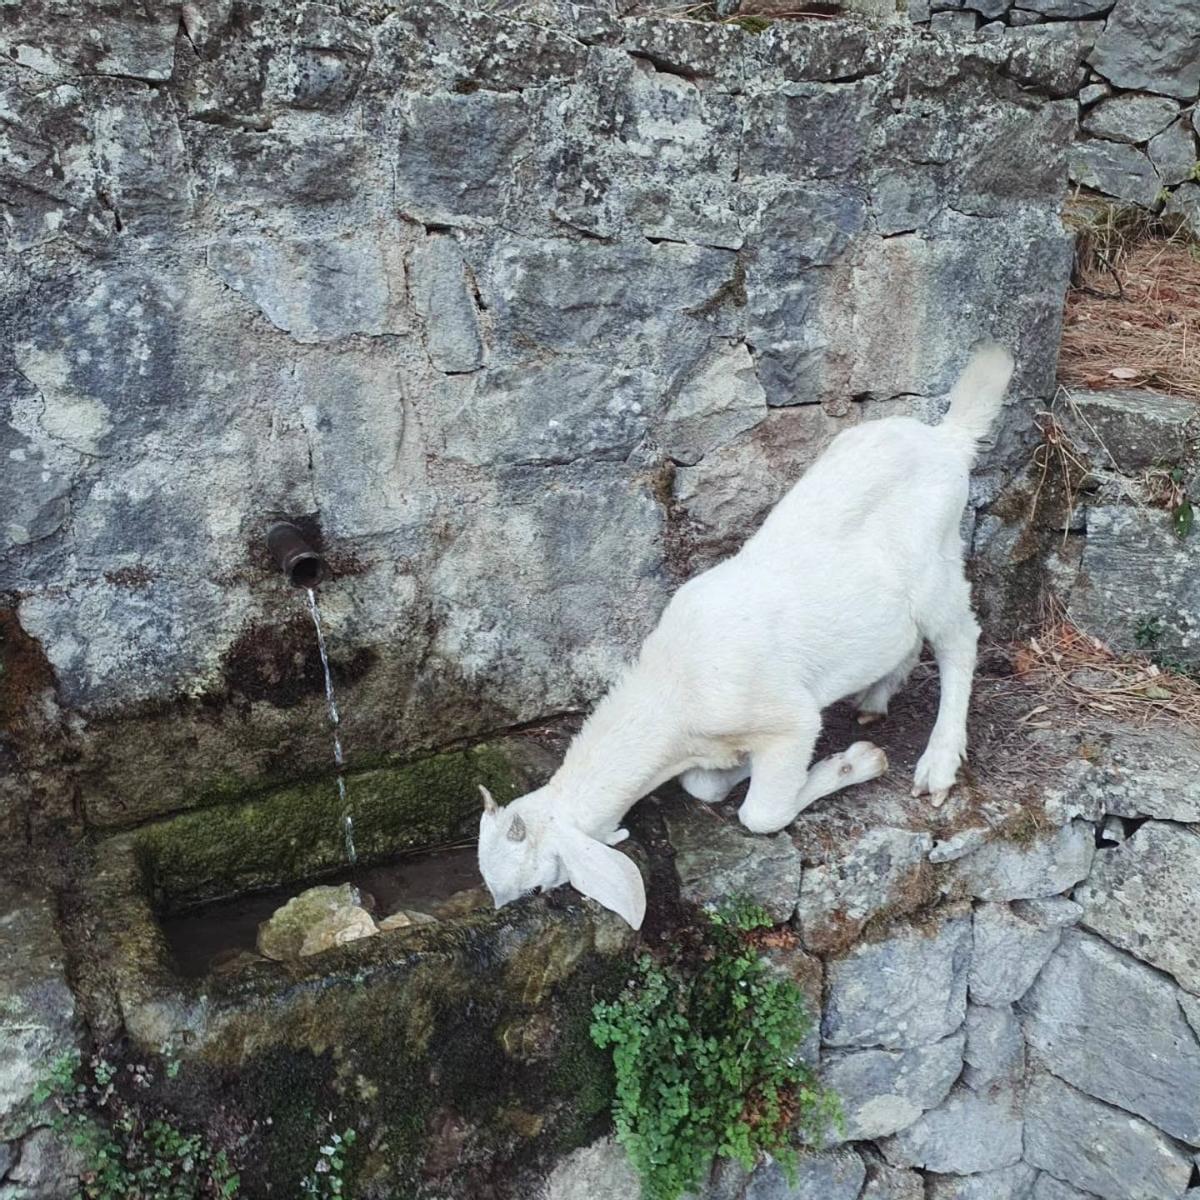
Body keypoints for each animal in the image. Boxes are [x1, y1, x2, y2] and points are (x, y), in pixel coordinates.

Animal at [478, 342, 1015, 929]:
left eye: (535, 885)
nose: (501, 909)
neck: (675, 688)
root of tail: (949, 438)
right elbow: (704, 785)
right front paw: (738, 770)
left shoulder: (788, 719)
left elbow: (763, 812)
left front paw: (853, 764)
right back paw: (876, 698)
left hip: (936, 572)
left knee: (960, 639)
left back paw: (938, 763)